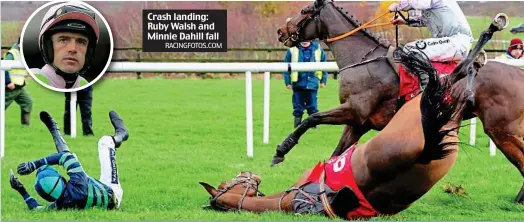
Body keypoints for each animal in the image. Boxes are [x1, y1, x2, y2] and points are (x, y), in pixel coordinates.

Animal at [272, 0, 524, 203]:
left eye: (304, 10)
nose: (280, 31)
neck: (363, 60)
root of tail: (518, 73)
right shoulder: (358, 124)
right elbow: (336, 154)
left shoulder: (355, 111)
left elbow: (311, 118)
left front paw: (281, 150)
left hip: (501, 130)